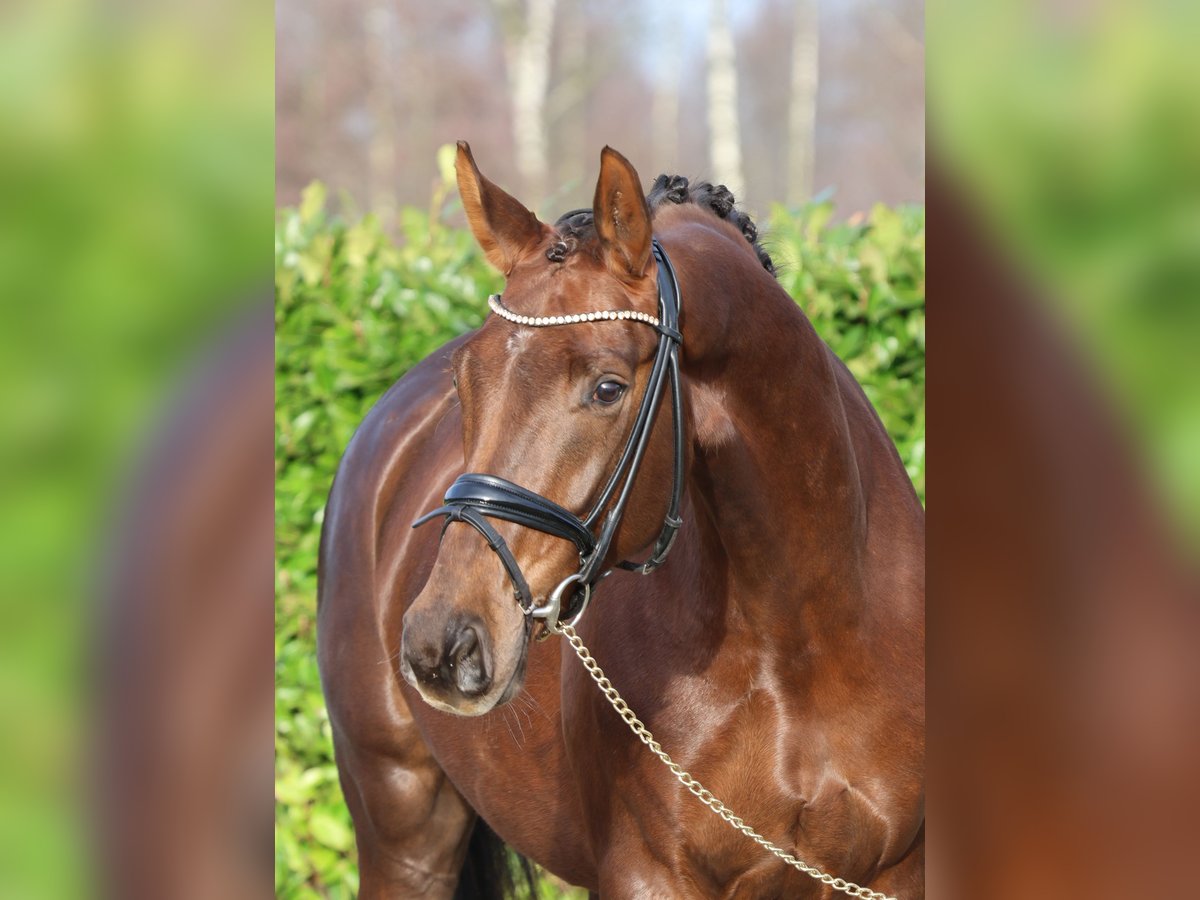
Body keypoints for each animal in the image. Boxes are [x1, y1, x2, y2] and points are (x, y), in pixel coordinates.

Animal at [314, 144, 921, 897]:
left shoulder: (896, 874)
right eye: (464, 381)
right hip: (403, 830)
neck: (806, 640)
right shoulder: (646, 874)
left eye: (608, 387)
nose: (441, 645)